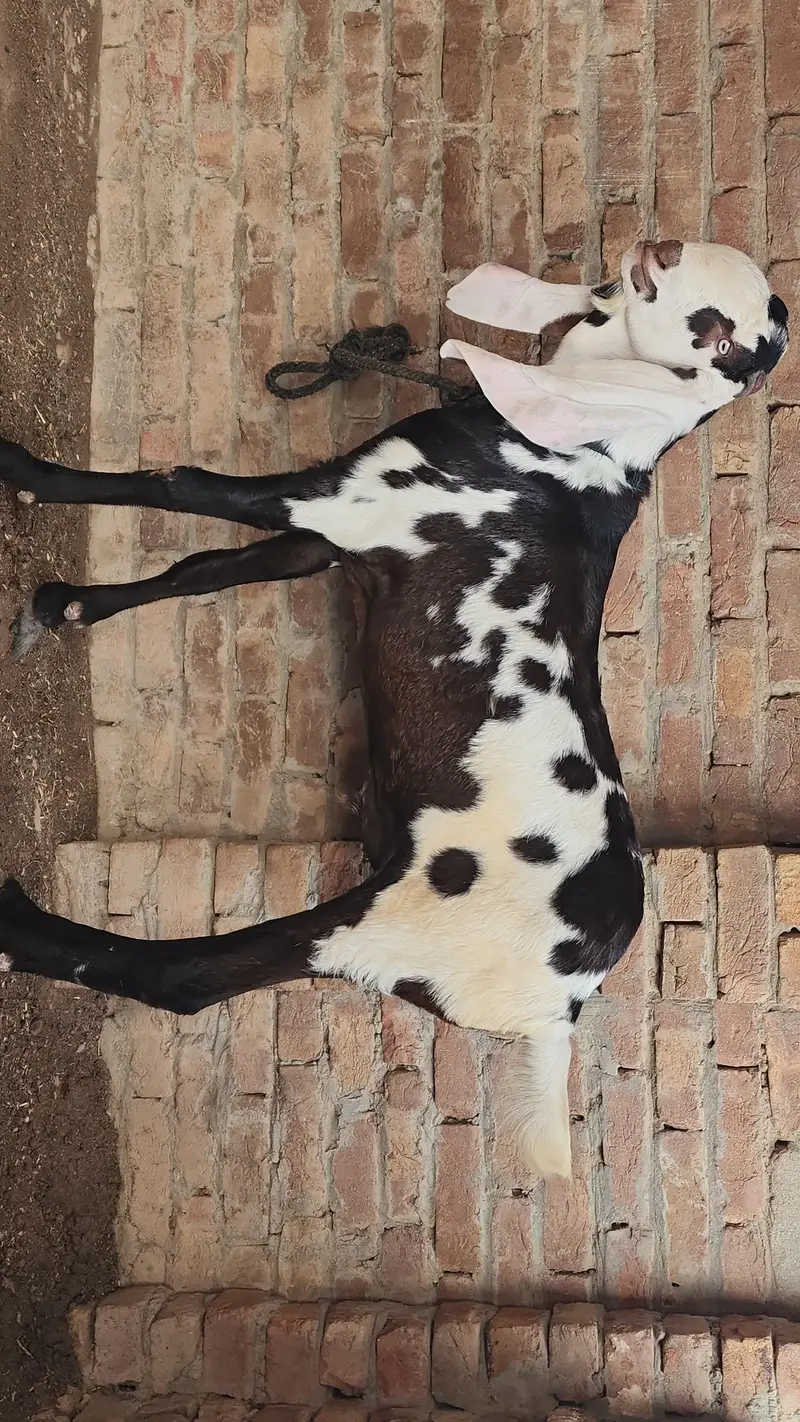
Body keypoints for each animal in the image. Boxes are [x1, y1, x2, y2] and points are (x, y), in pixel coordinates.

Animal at [0, 240, 788, 1178]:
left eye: (717, 336)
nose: (653, 251)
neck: (570, 444)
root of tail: (563, 1007)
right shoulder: (322, 543)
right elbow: (201, 571)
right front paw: (70, 606)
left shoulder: (334, 500)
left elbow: (177, 484)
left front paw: (19, 473)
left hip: (378, 924)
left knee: (185, 979)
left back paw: (15, 929)